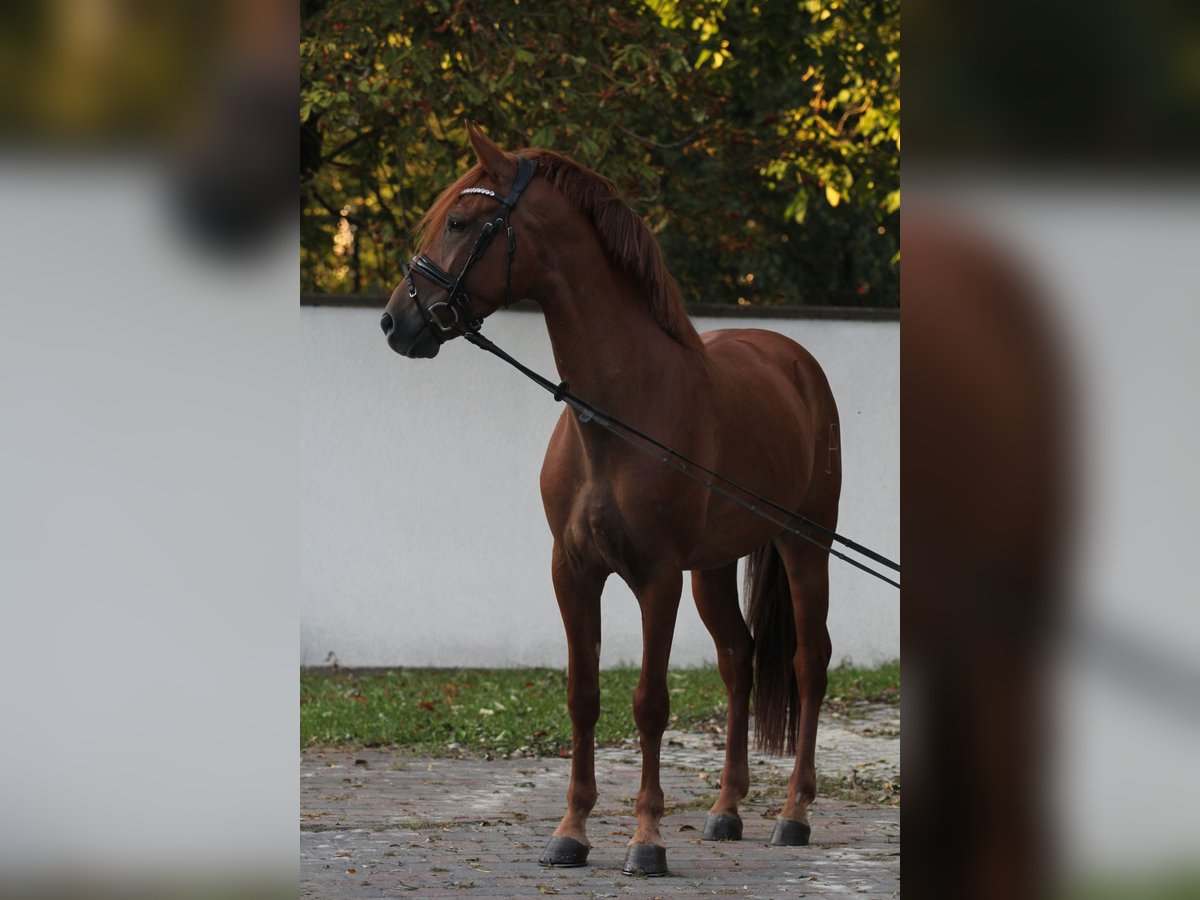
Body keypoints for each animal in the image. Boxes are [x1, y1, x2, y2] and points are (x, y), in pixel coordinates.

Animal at [379, 123, 840, 878]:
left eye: (462, 222)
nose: (396, 322)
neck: (621, 411)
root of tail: (795, 361)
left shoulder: (657, 578)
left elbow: (650, 703)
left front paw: (645, 840)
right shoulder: (573, 573)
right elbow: (583, 697)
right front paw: (570, 832)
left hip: (807, 547)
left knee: (809, 662)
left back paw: (794, 815)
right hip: (715, 568)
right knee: (738, 659)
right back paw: (725, 810)